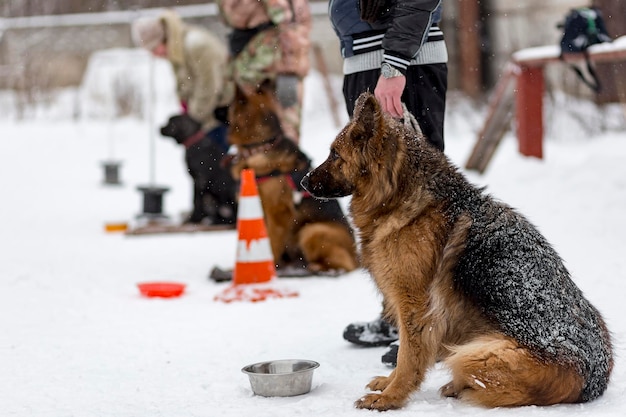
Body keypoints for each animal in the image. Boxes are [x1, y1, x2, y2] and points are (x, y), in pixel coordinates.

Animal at [224, 82, 356, 272]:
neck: (262, 146)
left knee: (344, 264)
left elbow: (272, 242)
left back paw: (316, 267)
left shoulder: (278, 212)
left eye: (229, 106)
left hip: (312, 231)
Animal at [300, 93, 612, 410]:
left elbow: (407, 356)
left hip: (474, 354)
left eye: (335, 155)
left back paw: (457, 387)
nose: (303, 181)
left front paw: (392, 396)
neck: (403, 197)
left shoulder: (414, 306)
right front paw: (388, 385)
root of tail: (595, 381)